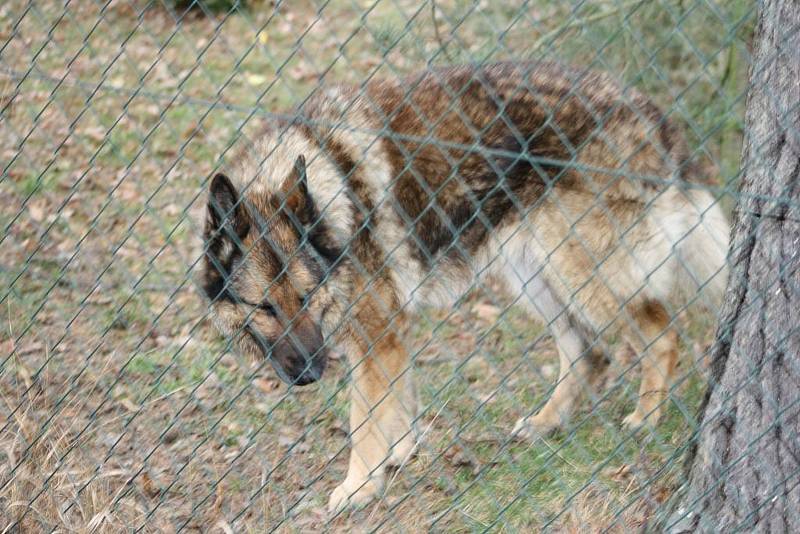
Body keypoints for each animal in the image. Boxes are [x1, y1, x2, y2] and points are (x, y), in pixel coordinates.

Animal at [200, 61, 732, 516]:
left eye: (307, 297)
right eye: (264, 307)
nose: (310, 375)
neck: (336, 202)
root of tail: (650, 112)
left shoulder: (377, 336)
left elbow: (364, 424)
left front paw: (359, 487)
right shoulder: (391, 335)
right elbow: (400, 406)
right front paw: (398, 456)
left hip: (578, 273)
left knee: (661, 333)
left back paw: (646, 418)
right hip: (534, 276)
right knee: (587, 351)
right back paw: (546, 422)